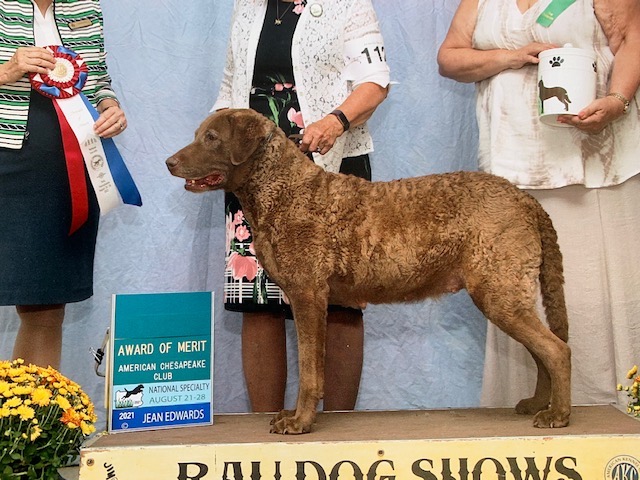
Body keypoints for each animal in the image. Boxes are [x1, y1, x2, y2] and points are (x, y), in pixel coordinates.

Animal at [165, 108, 568, 436]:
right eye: (199, 133)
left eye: (211, 138)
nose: (169, 162)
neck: (283, 190)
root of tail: (526, 199)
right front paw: (294, 416)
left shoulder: (308, 294)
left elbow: (310, 369)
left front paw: (299, 421)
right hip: (507, 294)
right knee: (542, 351)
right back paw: (537, 404)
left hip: (499, 291)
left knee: (557, 349)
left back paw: (558, 414)